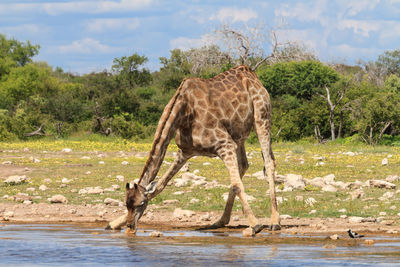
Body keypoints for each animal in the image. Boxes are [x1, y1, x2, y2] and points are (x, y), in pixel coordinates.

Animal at [106, 65, 282, 234]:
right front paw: (113, 224)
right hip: (238, 135)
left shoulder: (224, 144)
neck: (183, 113)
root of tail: (252, 75)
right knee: (244, 165)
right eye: (126, 204)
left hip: (262, 117)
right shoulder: (185, 152)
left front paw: (256, 224)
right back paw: (220, 221)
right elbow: (160, 185)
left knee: (268, 162)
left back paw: (274, 222)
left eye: (141, 203)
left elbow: (237, 185)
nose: (130, 226)